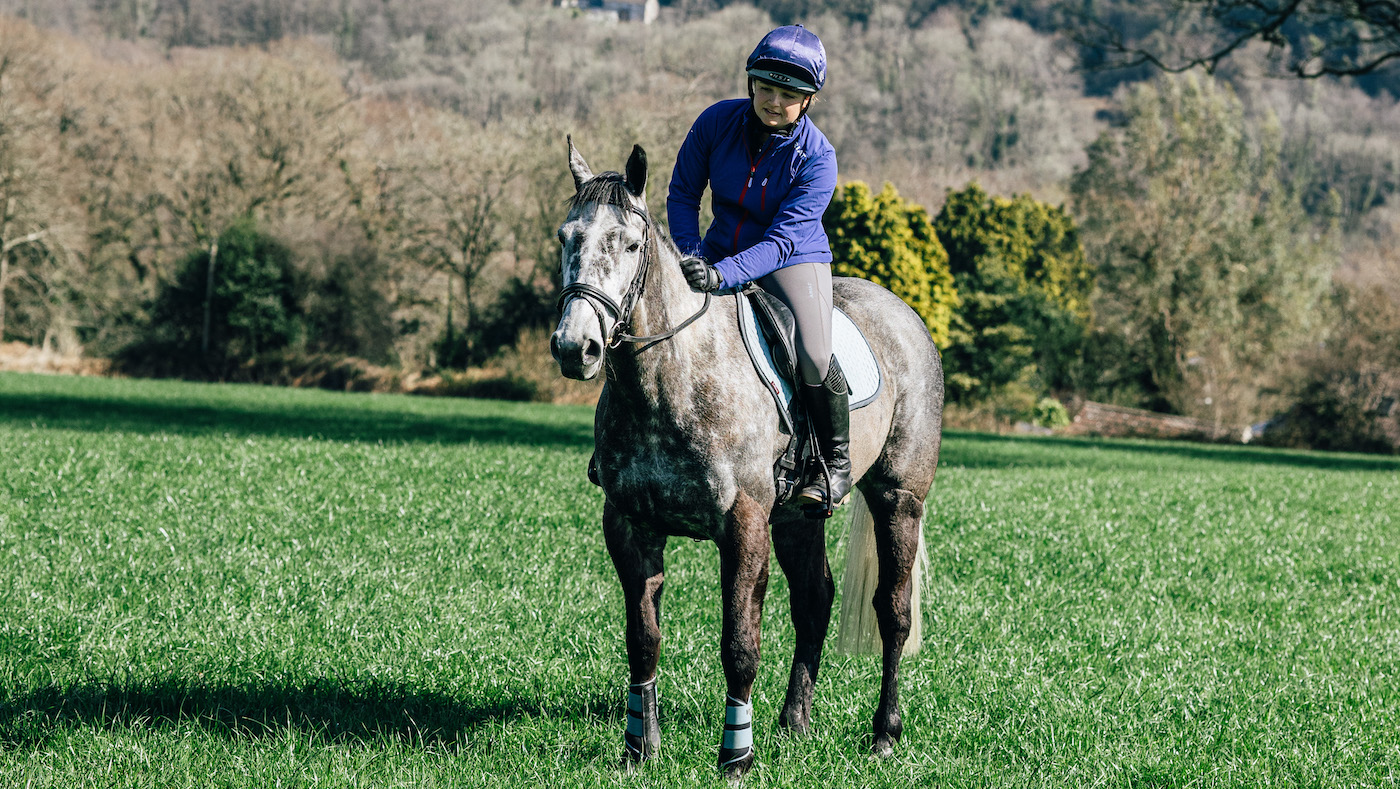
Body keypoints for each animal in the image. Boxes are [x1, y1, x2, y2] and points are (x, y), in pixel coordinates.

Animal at [550, 138, 944, 777]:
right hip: (797, 515)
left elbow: (739, 642)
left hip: (898, 498)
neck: (670, 380)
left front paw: (736, 755)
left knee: (894, 610)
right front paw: (639, 748)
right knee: (814, 601)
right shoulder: (630, 525)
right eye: (566, 237)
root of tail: (903, 313)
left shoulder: (744, 525)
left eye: (630, 244)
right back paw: (793, 723)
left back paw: (884, 734)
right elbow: (642, 639)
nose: (573, 347)